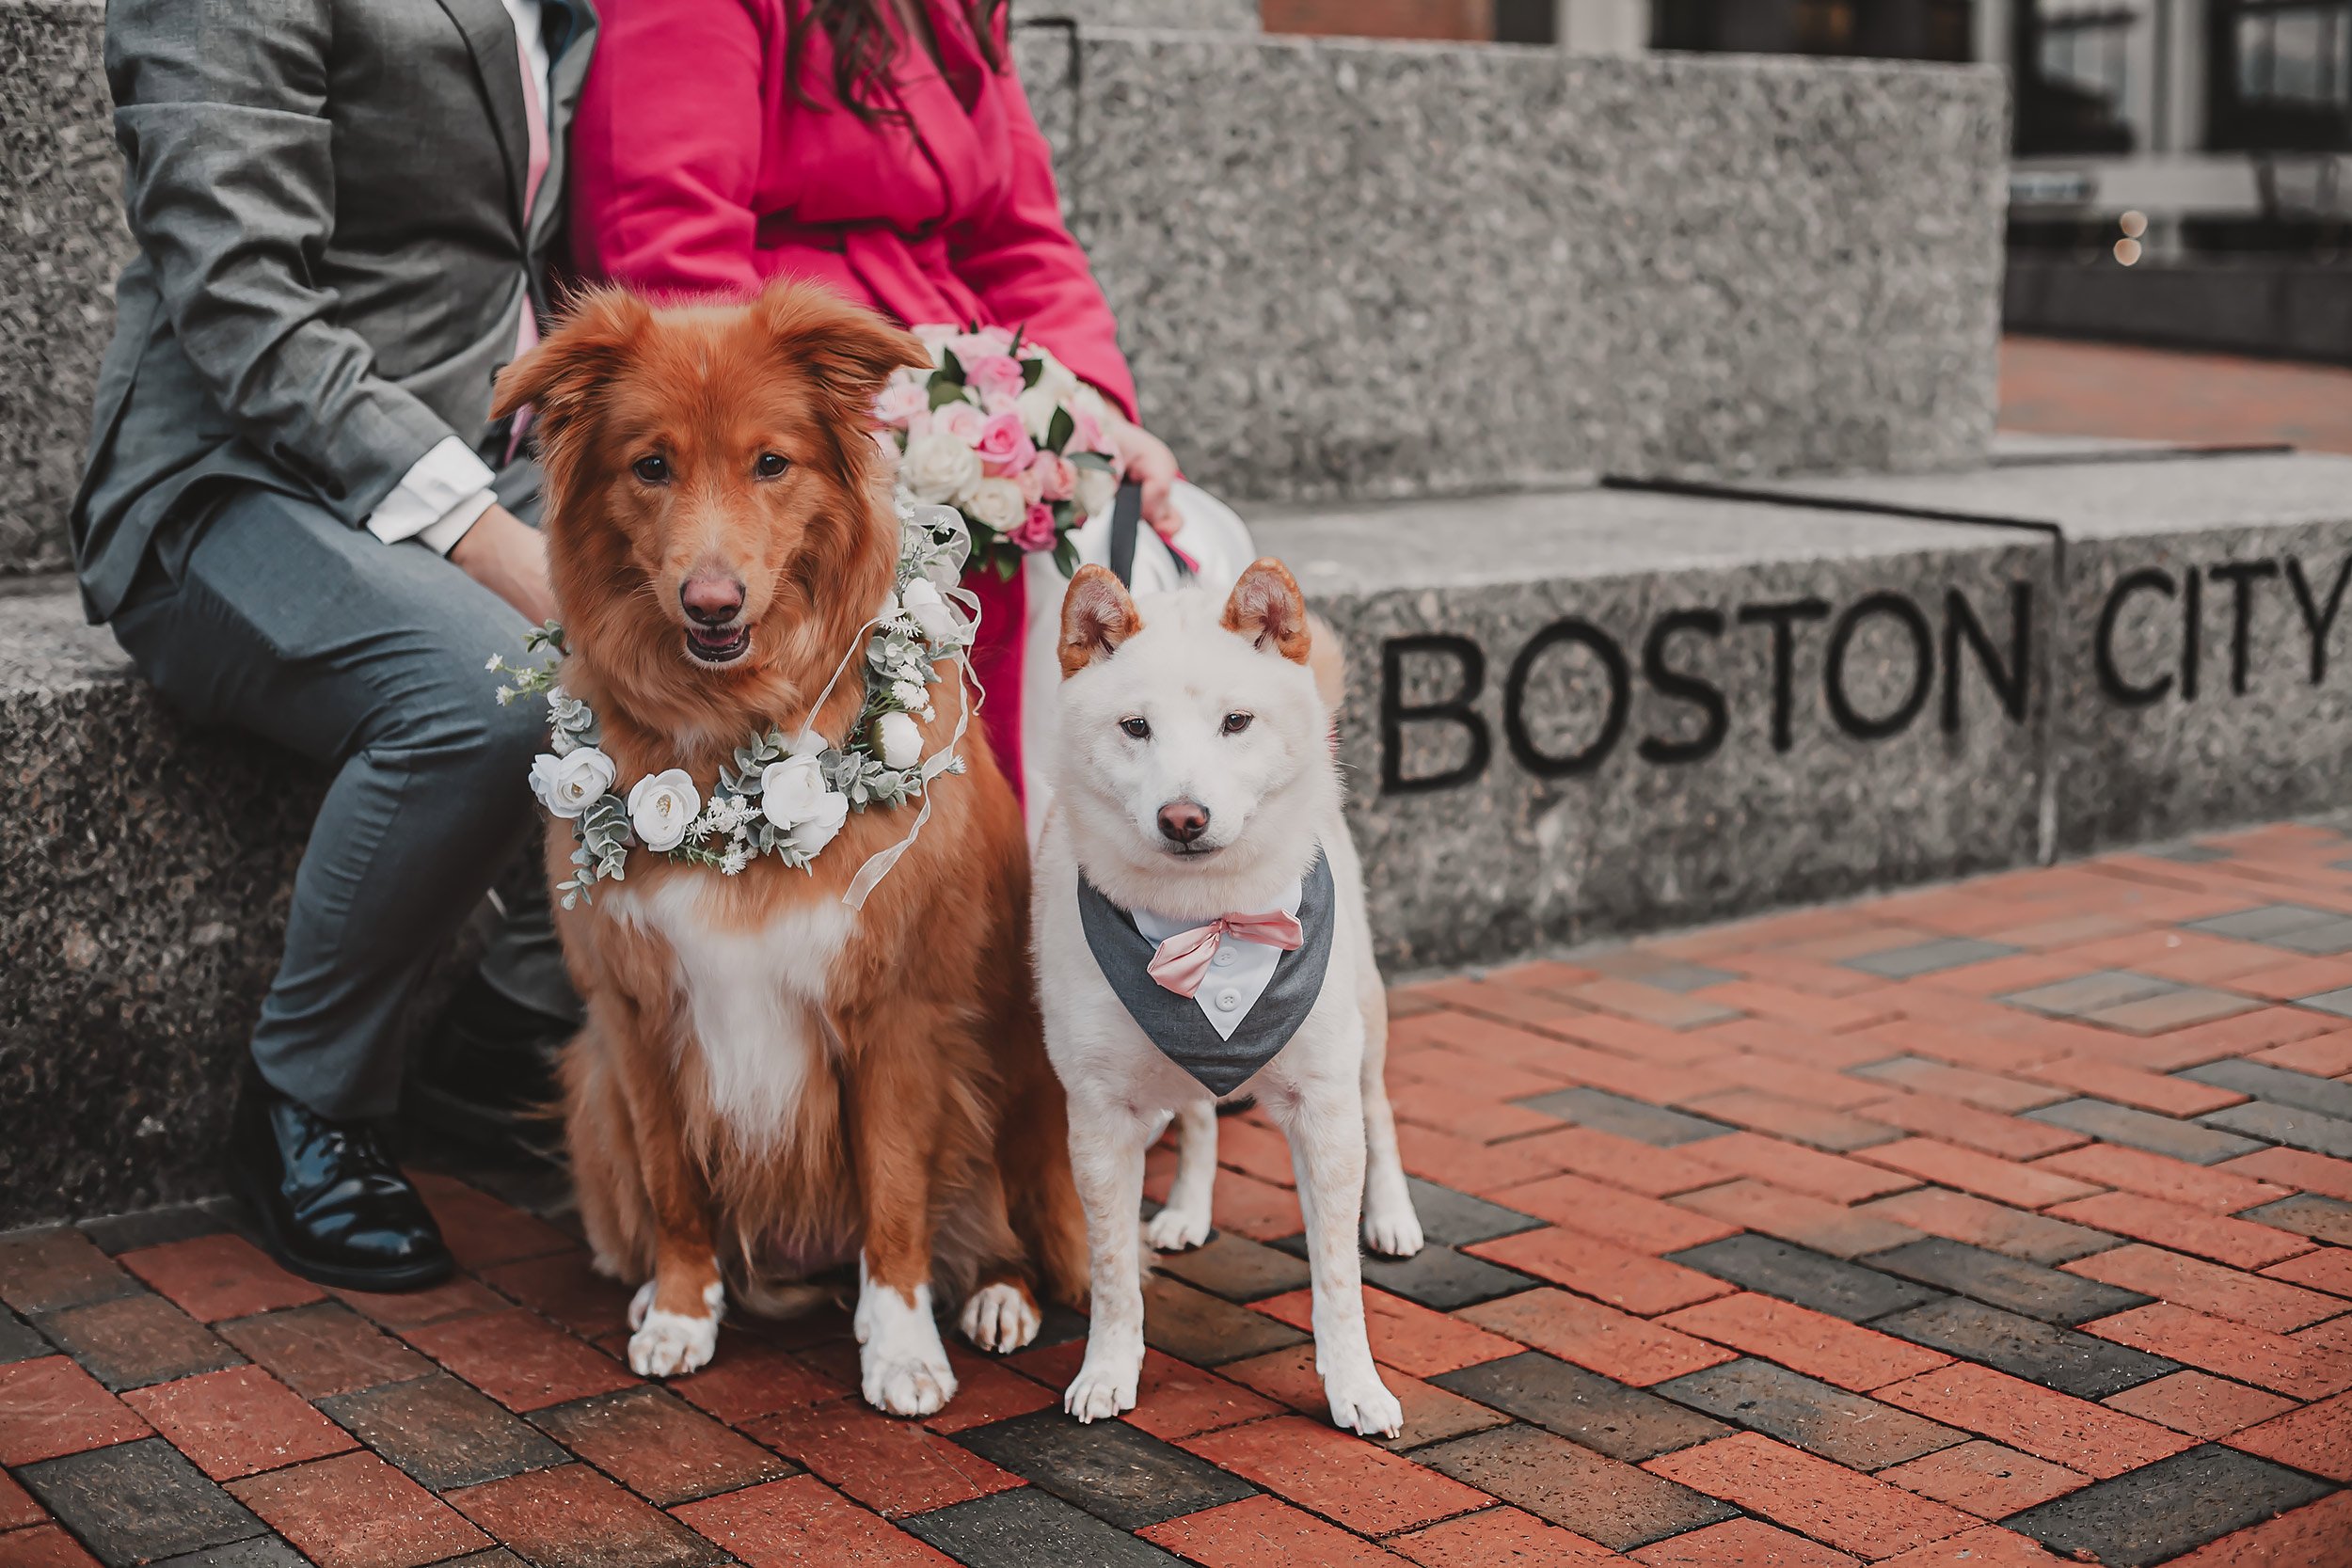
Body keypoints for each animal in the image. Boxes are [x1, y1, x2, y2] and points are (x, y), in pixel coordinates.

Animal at [501, 281, 1087, 1419]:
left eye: (771, 463)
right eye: (651, 465)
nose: (712, 602)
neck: (733, 736)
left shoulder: (894, 1011)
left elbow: (896, 1197)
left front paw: (901, 1349)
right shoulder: (633, 1014)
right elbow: (676, 1187)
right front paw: (683, 1308)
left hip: (1019, 1061)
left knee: (1000, 1219)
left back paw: (1000, 1295)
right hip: (591, 1087)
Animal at [1040, 562, 1421, 1438]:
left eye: (1236, 722)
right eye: (1135, 727)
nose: (1184, 817)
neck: (1206, 922)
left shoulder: (1323, 1107)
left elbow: (1338, 1281)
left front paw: (1356, 1385)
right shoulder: (1099, 1115)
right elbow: (1113, 1270)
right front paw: (1108, 1369)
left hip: (1366, 1013)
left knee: (1381, 1110)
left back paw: (1392, 1214)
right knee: (1201, 1114)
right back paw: (1187, 1206)